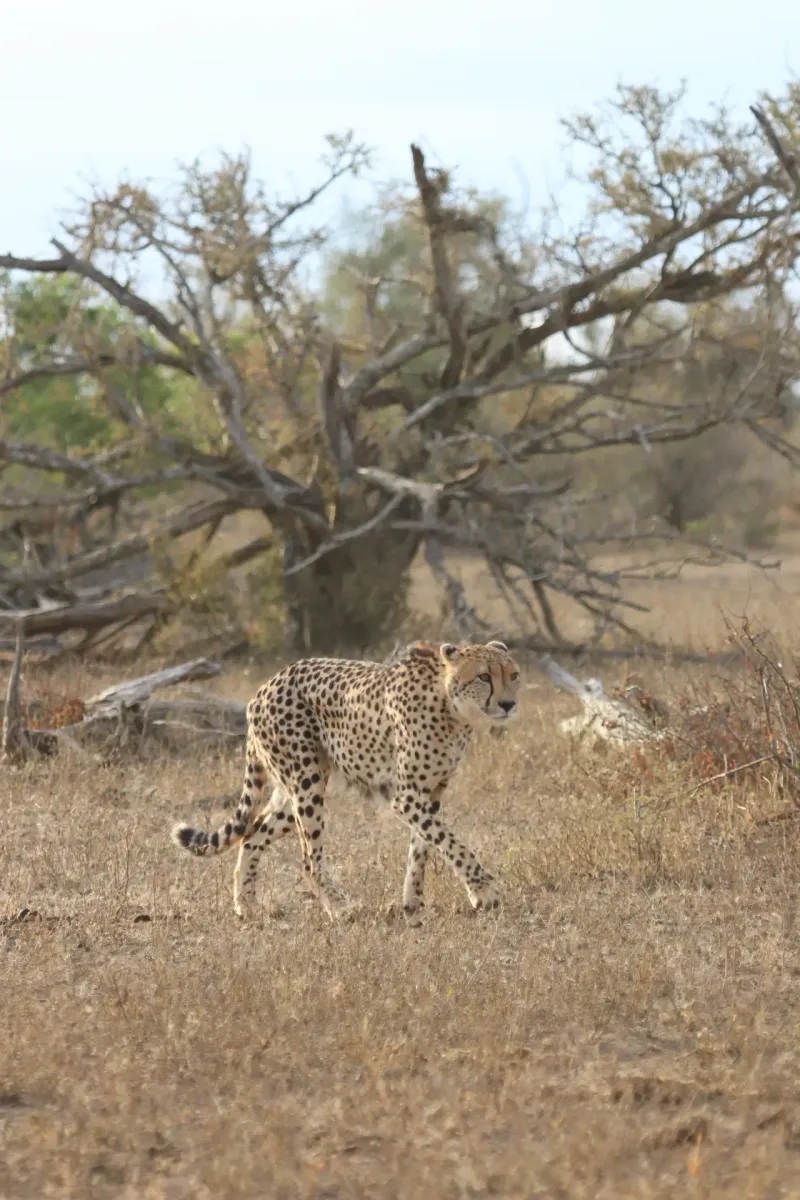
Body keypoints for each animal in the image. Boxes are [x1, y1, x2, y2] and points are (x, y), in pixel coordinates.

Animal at [171, 639, 520, 922]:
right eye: (484, 677)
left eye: (513, 675)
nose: (509, 704)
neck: (451, 708)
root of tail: (265, 686)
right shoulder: (406, 796)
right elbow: (451, 843)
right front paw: (484, 892)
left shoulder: (430, 793)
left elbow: (423, 847)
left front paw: (413, 903)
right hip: (306, 782)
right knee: (308, 859)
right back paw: (341, 908)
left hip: (293, 791)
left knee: (251, 834)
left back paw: (246, 905)